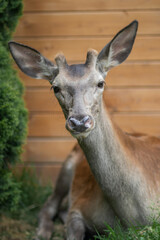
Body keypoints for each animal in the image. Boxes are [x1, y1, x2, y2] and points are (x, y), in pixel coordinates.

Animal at [8, 21, 160, 240]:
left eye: (100, 82)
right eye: (55, 87)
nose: (80, 121)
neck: (129, 217)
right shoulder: (79, 207)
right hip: (66, 165)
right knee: (49, 204)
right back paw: (43, 231)